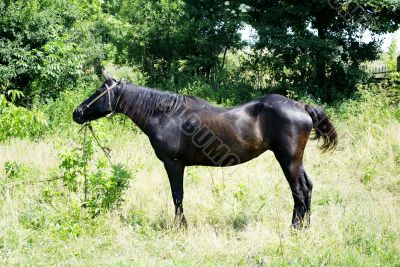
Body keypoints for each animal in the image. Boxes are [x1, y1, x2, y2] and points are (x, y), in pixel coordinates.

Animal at [72, 74, 338, 229]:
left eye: (100, 91)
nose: (78, 112)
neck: (165, 115)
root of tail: (301, 106)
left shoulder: (173, 163)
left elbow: (177, 195)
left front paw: (181, 227)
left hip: (288, 159)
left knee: (299, 191)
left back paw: (295, 228)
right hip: (296, 160)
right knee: (307, 188)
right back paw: (306, 227)